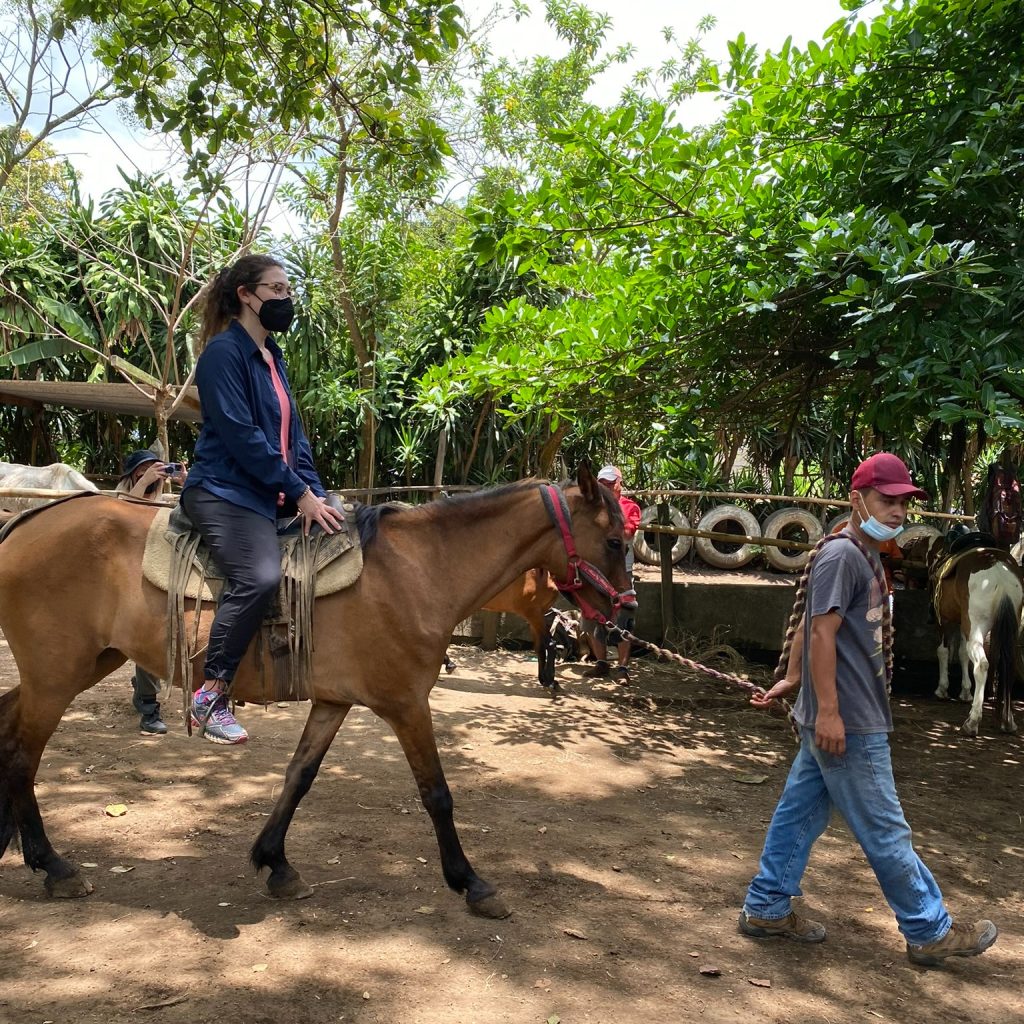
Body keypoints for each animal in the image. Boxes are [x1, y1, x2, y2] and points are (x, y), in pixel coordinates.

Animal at [0, 468, 630, 917]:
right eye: (616, 541)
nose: (625, 612)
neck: (418, 571)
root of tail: (25, 524)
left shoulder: (334, 701)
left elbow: (298, 776)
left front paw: (275, 863)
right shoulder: (407, 704)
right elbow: (437, 794)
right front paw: (471, 882)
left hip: (81, 665)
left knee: (8, 731)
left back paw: (18, 845)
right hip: (57, 676)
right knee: (22, 755)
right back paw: (54, 866)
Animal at [913, 536, 1024, 737]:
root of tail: (1000, 573)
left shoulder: (944, 621)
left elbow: (943, 651)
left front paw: (942, 689)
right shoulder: (962, 623)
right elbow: (962, 653)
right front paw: (965, 692)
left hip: (976, 628)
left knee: (982, 665)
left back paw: (972, 722)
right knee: (1007, 664)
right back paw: (1008, 721)